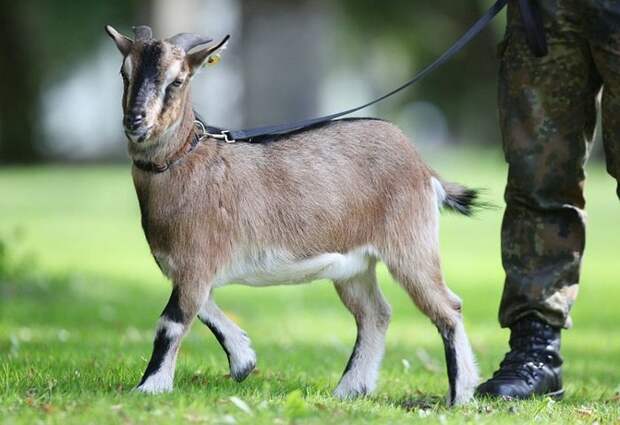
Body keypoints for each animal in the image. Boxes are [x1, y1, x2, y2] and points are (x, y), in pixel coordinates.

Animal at [104, 24, 480, 404]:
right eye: (125, 73)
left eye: (178, 80)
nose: (135, 121)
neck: (186, 162)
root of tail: (423, 166)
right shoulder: (188, 268)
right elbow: (205, 306)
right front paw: (243, 360)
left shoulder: (196, 261)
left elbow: (172, 321)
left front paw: (150, 386)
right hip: (354, 265)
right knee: (375, 313)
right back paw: (349, 389)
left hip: (411, 243)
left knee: (448, 307)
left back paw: (460, 395)